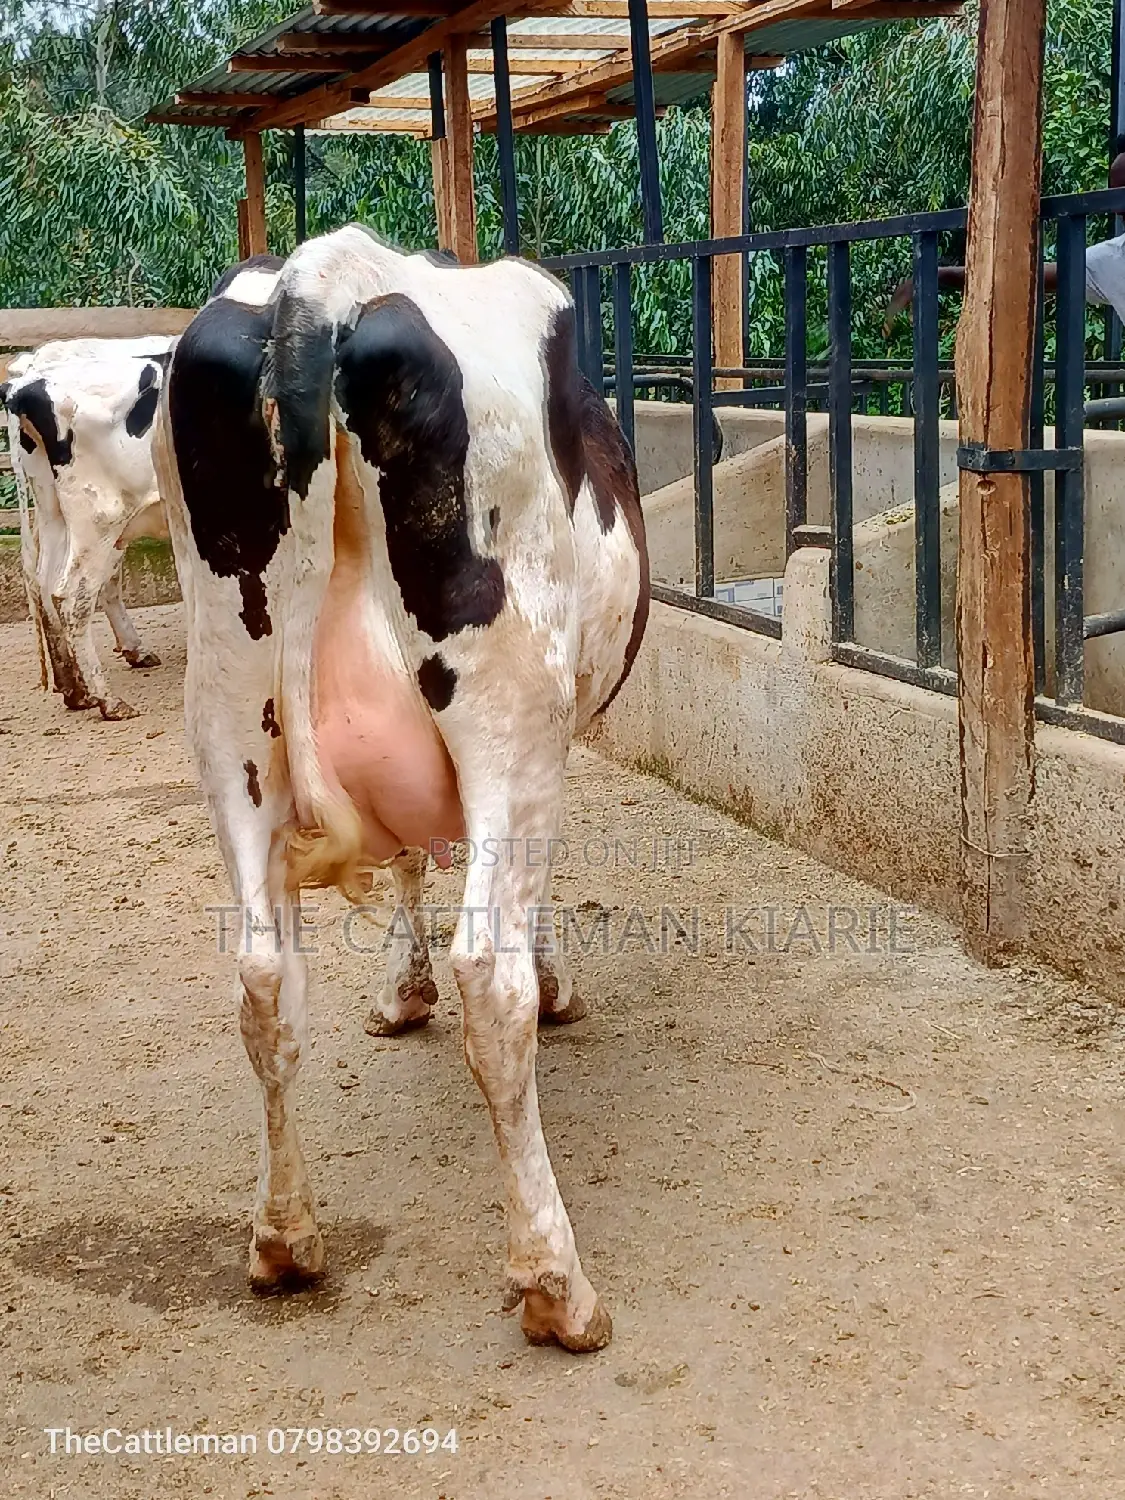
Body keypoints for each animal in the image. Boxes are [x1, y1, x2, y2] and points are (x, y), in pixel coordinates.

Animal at [3, 336, 176, 719]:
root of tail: (28, 382)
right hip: (102, 518)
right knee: (73, 596)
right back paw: (106, 697)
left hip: (54, 512)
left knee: (45, 584)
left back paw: (75, 689)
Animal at [154, 225, 649, 1353]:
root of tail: (321, 281)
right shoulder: (547, 744)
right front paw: (546, 981)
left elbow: (413, 860)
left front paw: (396, 989)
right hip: (511, 705)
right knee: (490, 981)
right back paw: (557, 1285)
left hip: (229, 720)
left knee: (262, 978)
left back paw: (283, 1239)